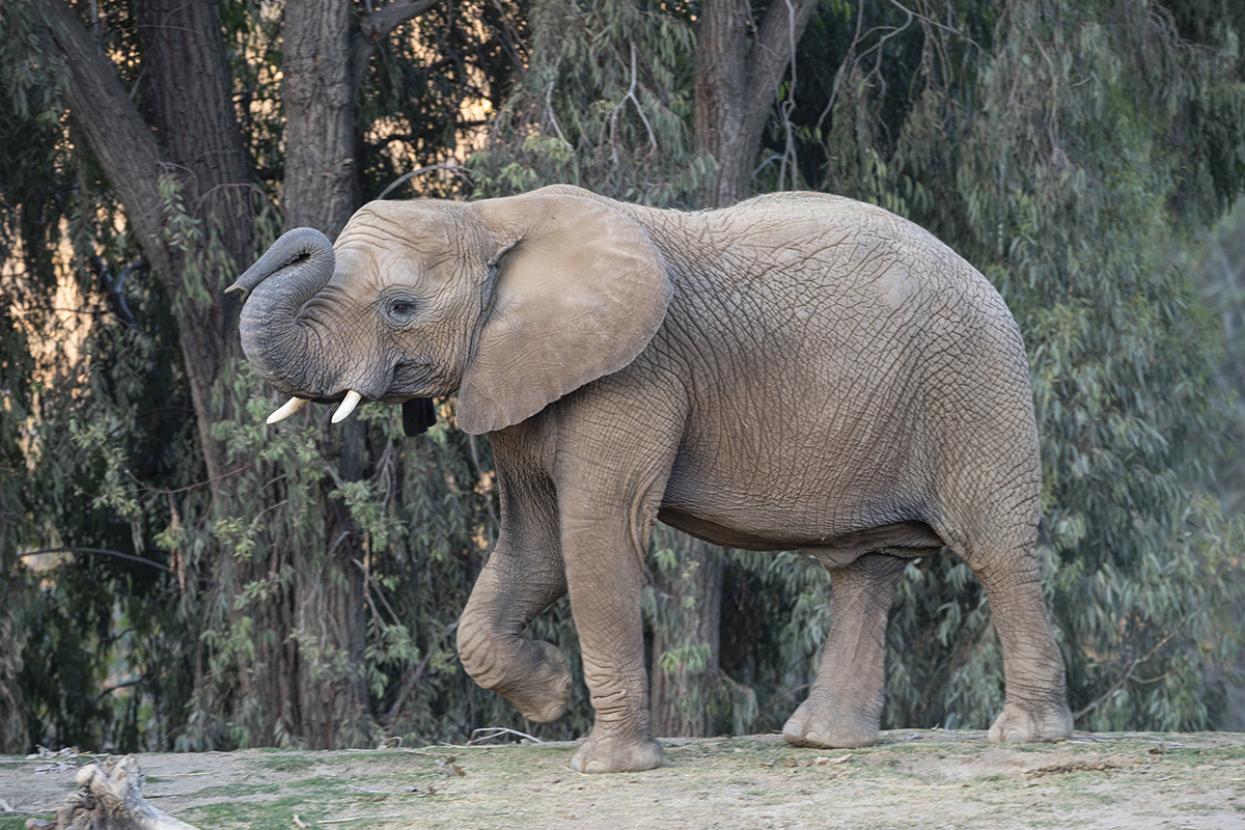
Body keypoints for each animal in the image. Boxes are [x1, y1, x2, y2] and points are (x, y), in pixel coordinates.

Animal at [227, 184, 1073, 773]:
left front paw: (603, 765)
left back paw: (1024, 737)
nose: (281, 254)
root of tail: (983, 279)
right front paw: (549, 692)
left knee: (994, 549)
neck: (489, 215)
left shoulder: (634, 374)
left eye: (400, 307)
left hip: (973, 382)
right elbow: (533, 543)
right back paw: (820, 743)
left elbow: (594, 533)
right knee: (865, 567)